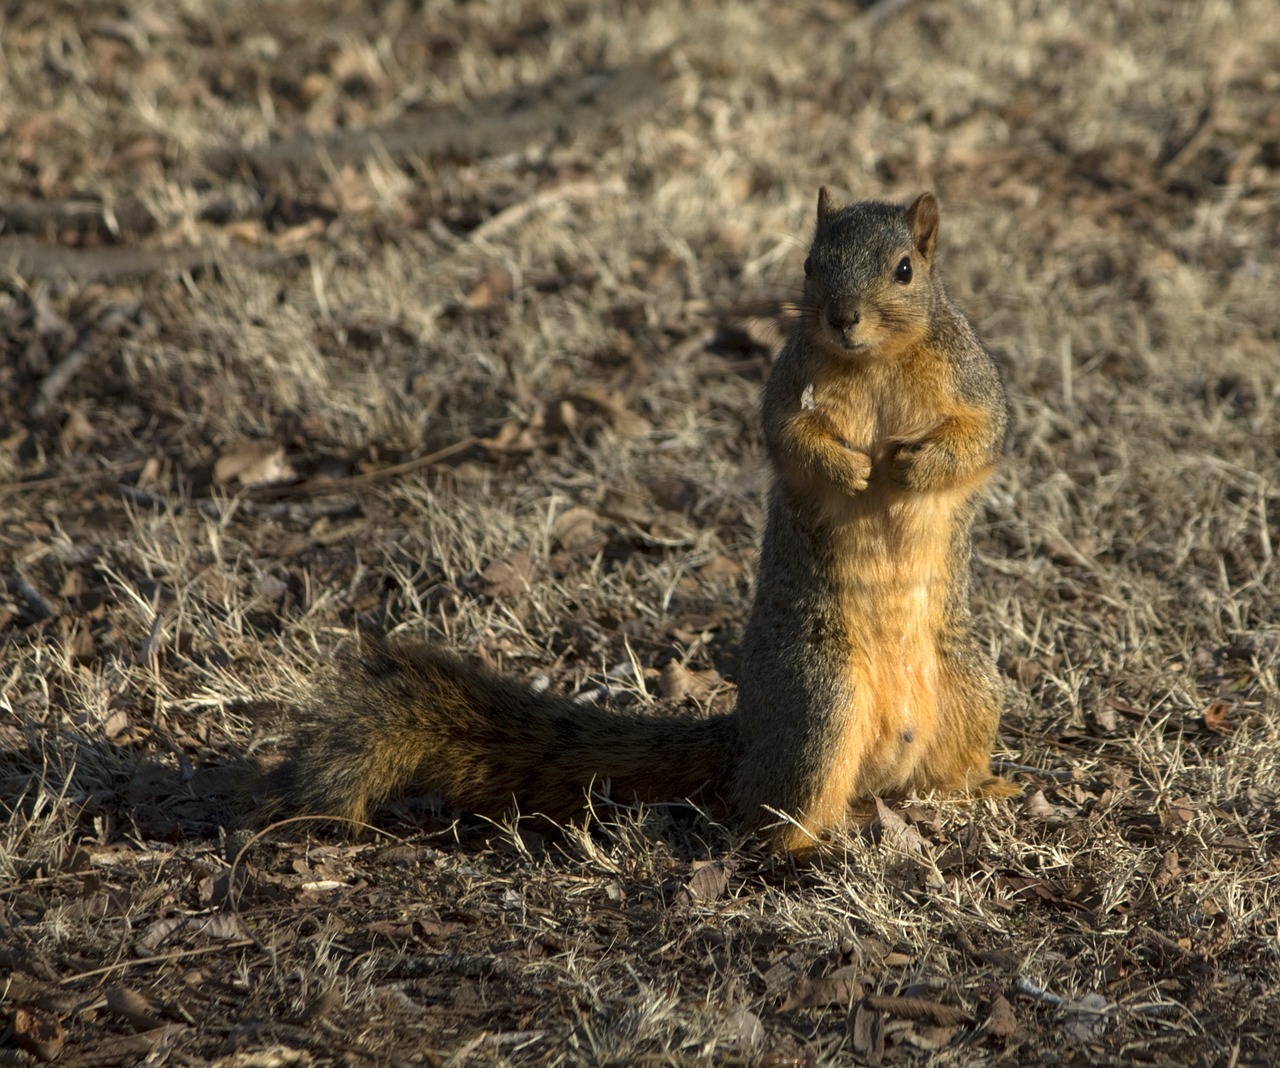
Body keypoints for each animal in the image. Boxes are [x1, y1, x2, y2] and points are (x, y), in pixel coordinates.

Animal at [262, 189, 1018, 855]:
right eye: (809, 264)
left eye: (905, 269)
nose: (842, 318)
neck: (876, 361)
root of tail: (745, 736)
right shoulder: (784, 393)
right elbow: (791, 441)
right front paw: (851, 471)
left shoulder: (972, 383)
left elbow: (980, 437)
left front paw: (912, 467)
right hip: (820, 708)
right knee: (773, 817)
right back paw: (805, 851)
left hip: (972, 689)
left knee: (939, 775)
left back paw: (986, 789)